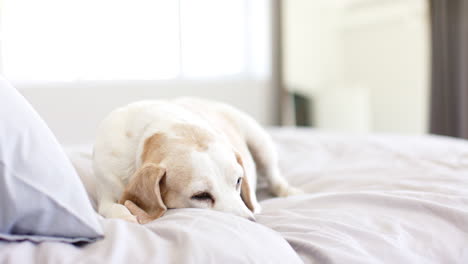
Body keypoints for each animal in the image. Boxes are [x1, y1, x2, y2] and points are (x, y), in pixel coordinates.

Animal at [93, 98, 302, 224]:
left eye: (238, 181)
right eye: (201, 196)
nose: (251, 224)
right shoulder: (106, 189)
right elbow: (115, 208)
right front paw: (127, 215)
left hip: (260, 141)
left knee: (274, 176)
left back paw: (288, 190)